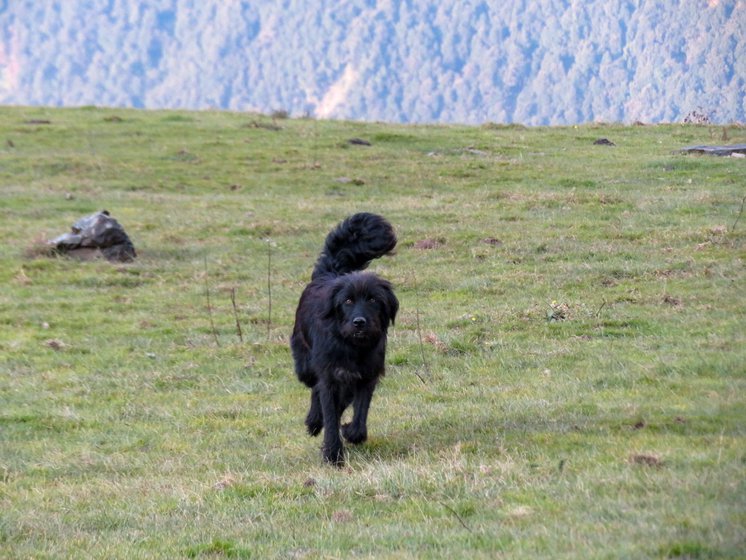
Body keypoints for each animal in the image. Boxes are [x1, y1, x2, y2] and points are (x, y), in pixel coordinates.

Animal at [290, 212, 398, 466]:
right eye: (347, 301)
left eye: (373, 300)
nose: (359, 322)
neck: (351, 346)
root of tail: (331, 273)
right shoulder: (330, 377)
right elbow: (329, 412)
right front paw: (332, 455)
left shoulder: (366, 376)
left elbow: (359, 414)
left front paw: (350, 432)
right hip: (305, 365)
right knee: (314, 388)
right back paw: (314, 420)